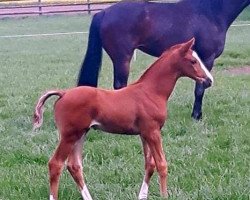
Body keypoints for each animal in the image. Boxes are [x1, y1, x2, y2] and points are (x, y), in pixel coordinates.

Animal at [32, 39, 213, 200]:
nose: (209, 80)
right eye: (193, 61)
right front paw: (165, 196)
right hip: (69, 135)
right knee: (55, 164)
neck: (151, 91)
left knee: (74, 165)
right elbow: (162, 164)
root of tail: (63, 93)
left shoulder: (145, 133)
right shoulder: (153, 132)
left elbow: (150, 165)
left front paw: (142, 197)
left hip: (80, 134)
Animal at [77, 0, 249, 119]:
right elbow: (200, 89)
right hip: (122, 59)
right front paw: (196, 116)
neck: (211, 12)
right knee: (120, 86)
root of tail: (104, 12)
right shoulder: (207, 59)